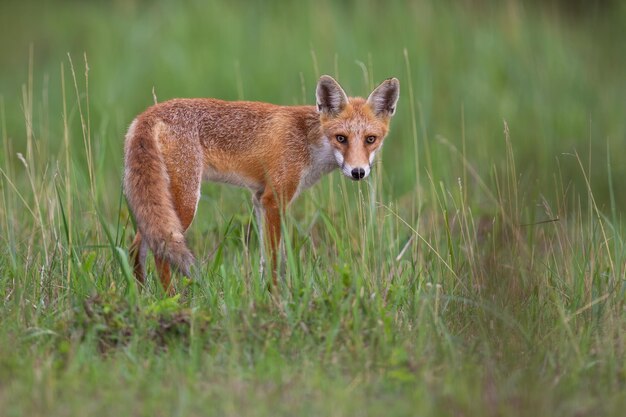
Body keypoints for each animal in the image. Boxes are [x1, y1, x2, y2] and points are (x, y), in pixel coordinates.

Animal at [123, 75, 398, 292]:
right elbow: (275, 259)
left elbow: (265, 260)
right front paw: (276, 298)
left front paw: (263, 293)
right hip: (185, 202)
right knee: (159, 250)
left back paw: (141, 294)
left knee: (136, 245)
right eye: (341, 138)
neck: (308, 143)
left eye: (370, 139)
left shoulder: (258, 198)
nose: (358, 172)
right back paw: (170, 297)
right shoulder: (275, 200)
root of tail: (146, 114)